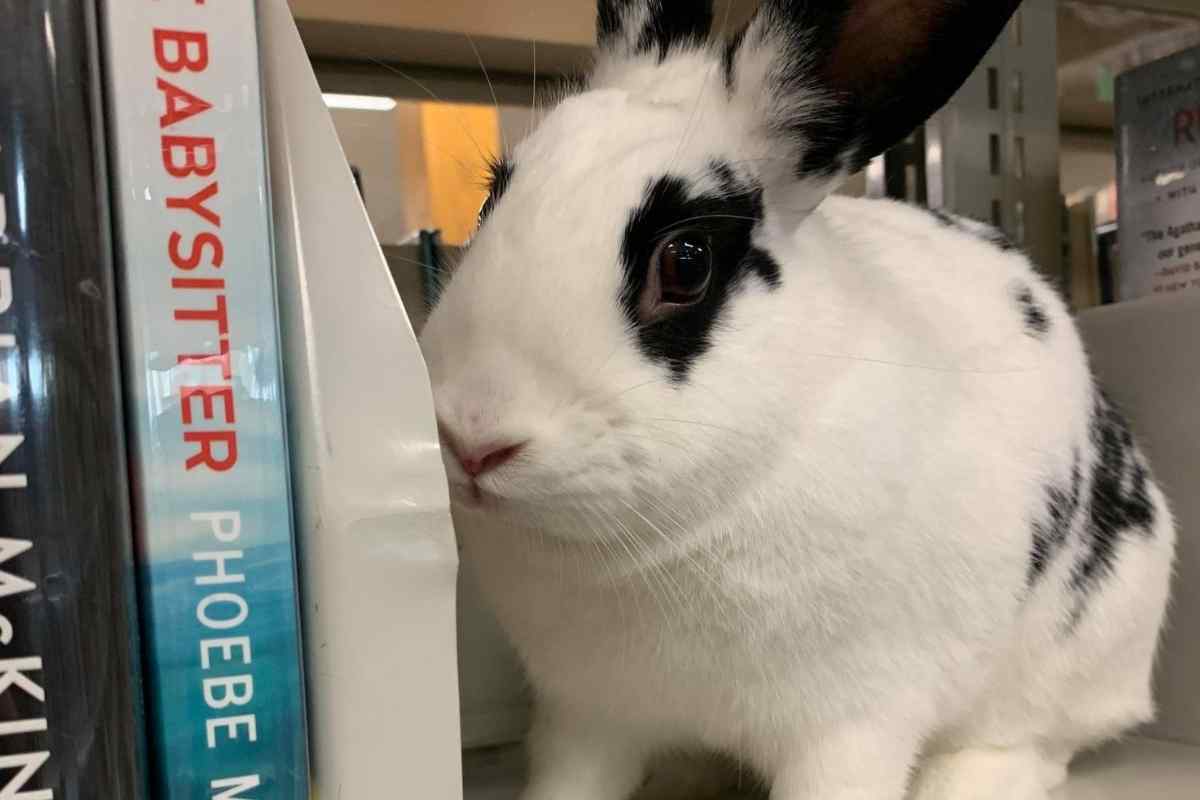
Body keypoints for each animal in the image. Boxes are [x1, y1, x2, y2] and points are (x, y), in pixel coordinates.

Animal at [417, 1, 1176, 800]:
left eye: (685, 263)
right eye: (492, 196)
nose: (472, 439)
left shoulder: (853, 722)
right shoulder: (585, 716)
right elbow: (569, 780)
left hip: (1077, 654)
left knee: (1039, 739)